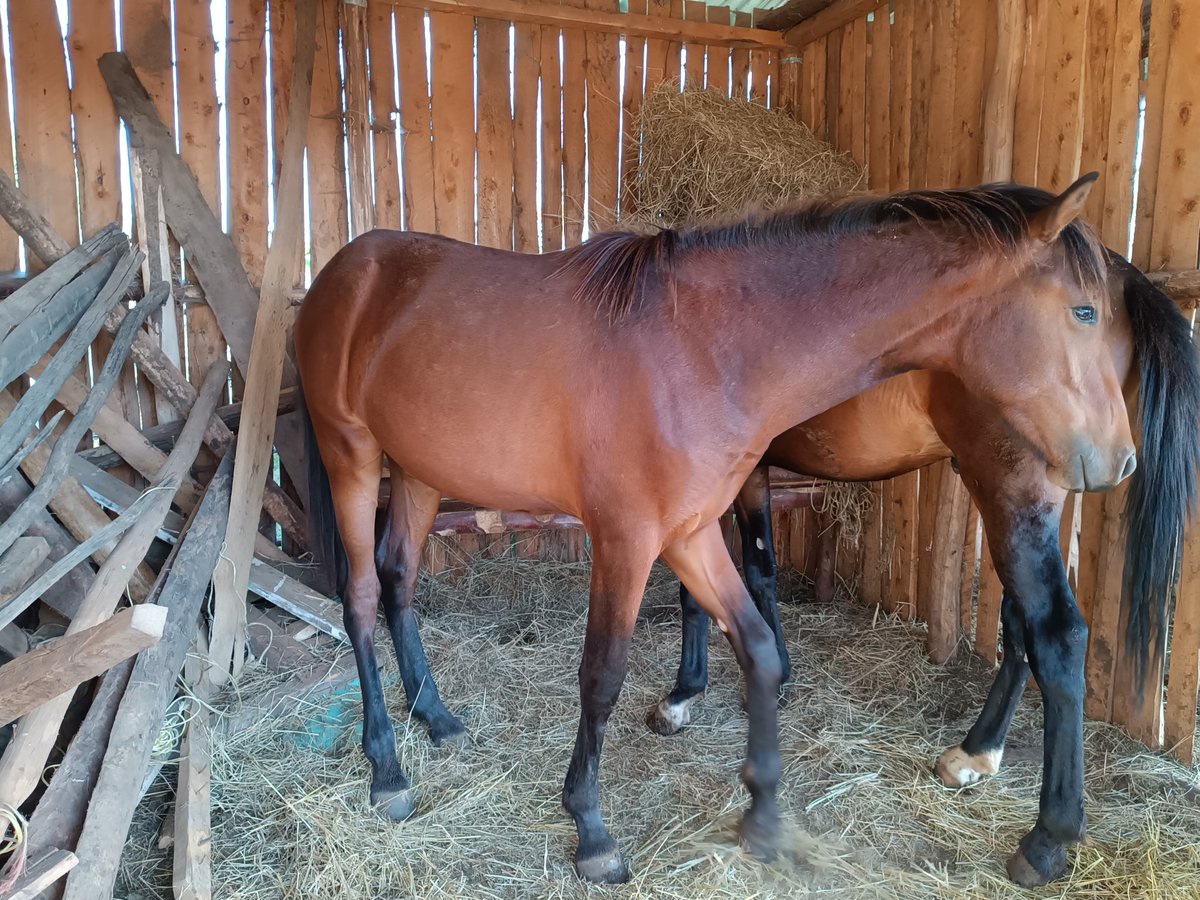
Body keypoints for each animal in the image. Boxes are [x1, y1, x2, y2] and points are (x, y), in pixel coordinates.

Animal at [294, 174, 1135, 885]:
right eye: (1083, 311)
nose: (1120, 460)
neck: (704, 349)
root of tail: (346, 269)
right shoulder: (628, 538)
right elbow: (601, 675)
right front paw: (591, 831)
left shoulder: (692, 532)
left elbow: (755, 645)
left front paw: (762, 814)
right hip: (350, 454)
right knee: (361, 598)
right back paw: (387, 771)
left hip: (419, 472)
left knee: (399, 582)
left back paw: (436, 718)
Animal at [650, 250, 1200, 886]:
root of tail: (1118, 270)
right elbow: (755, 575)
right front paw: (771, 677)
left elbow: (714, 585)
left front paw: (684, 695)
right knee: (1019, 626)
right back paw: (977, 753)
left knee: (1058, 634)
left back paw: (1046, 841)